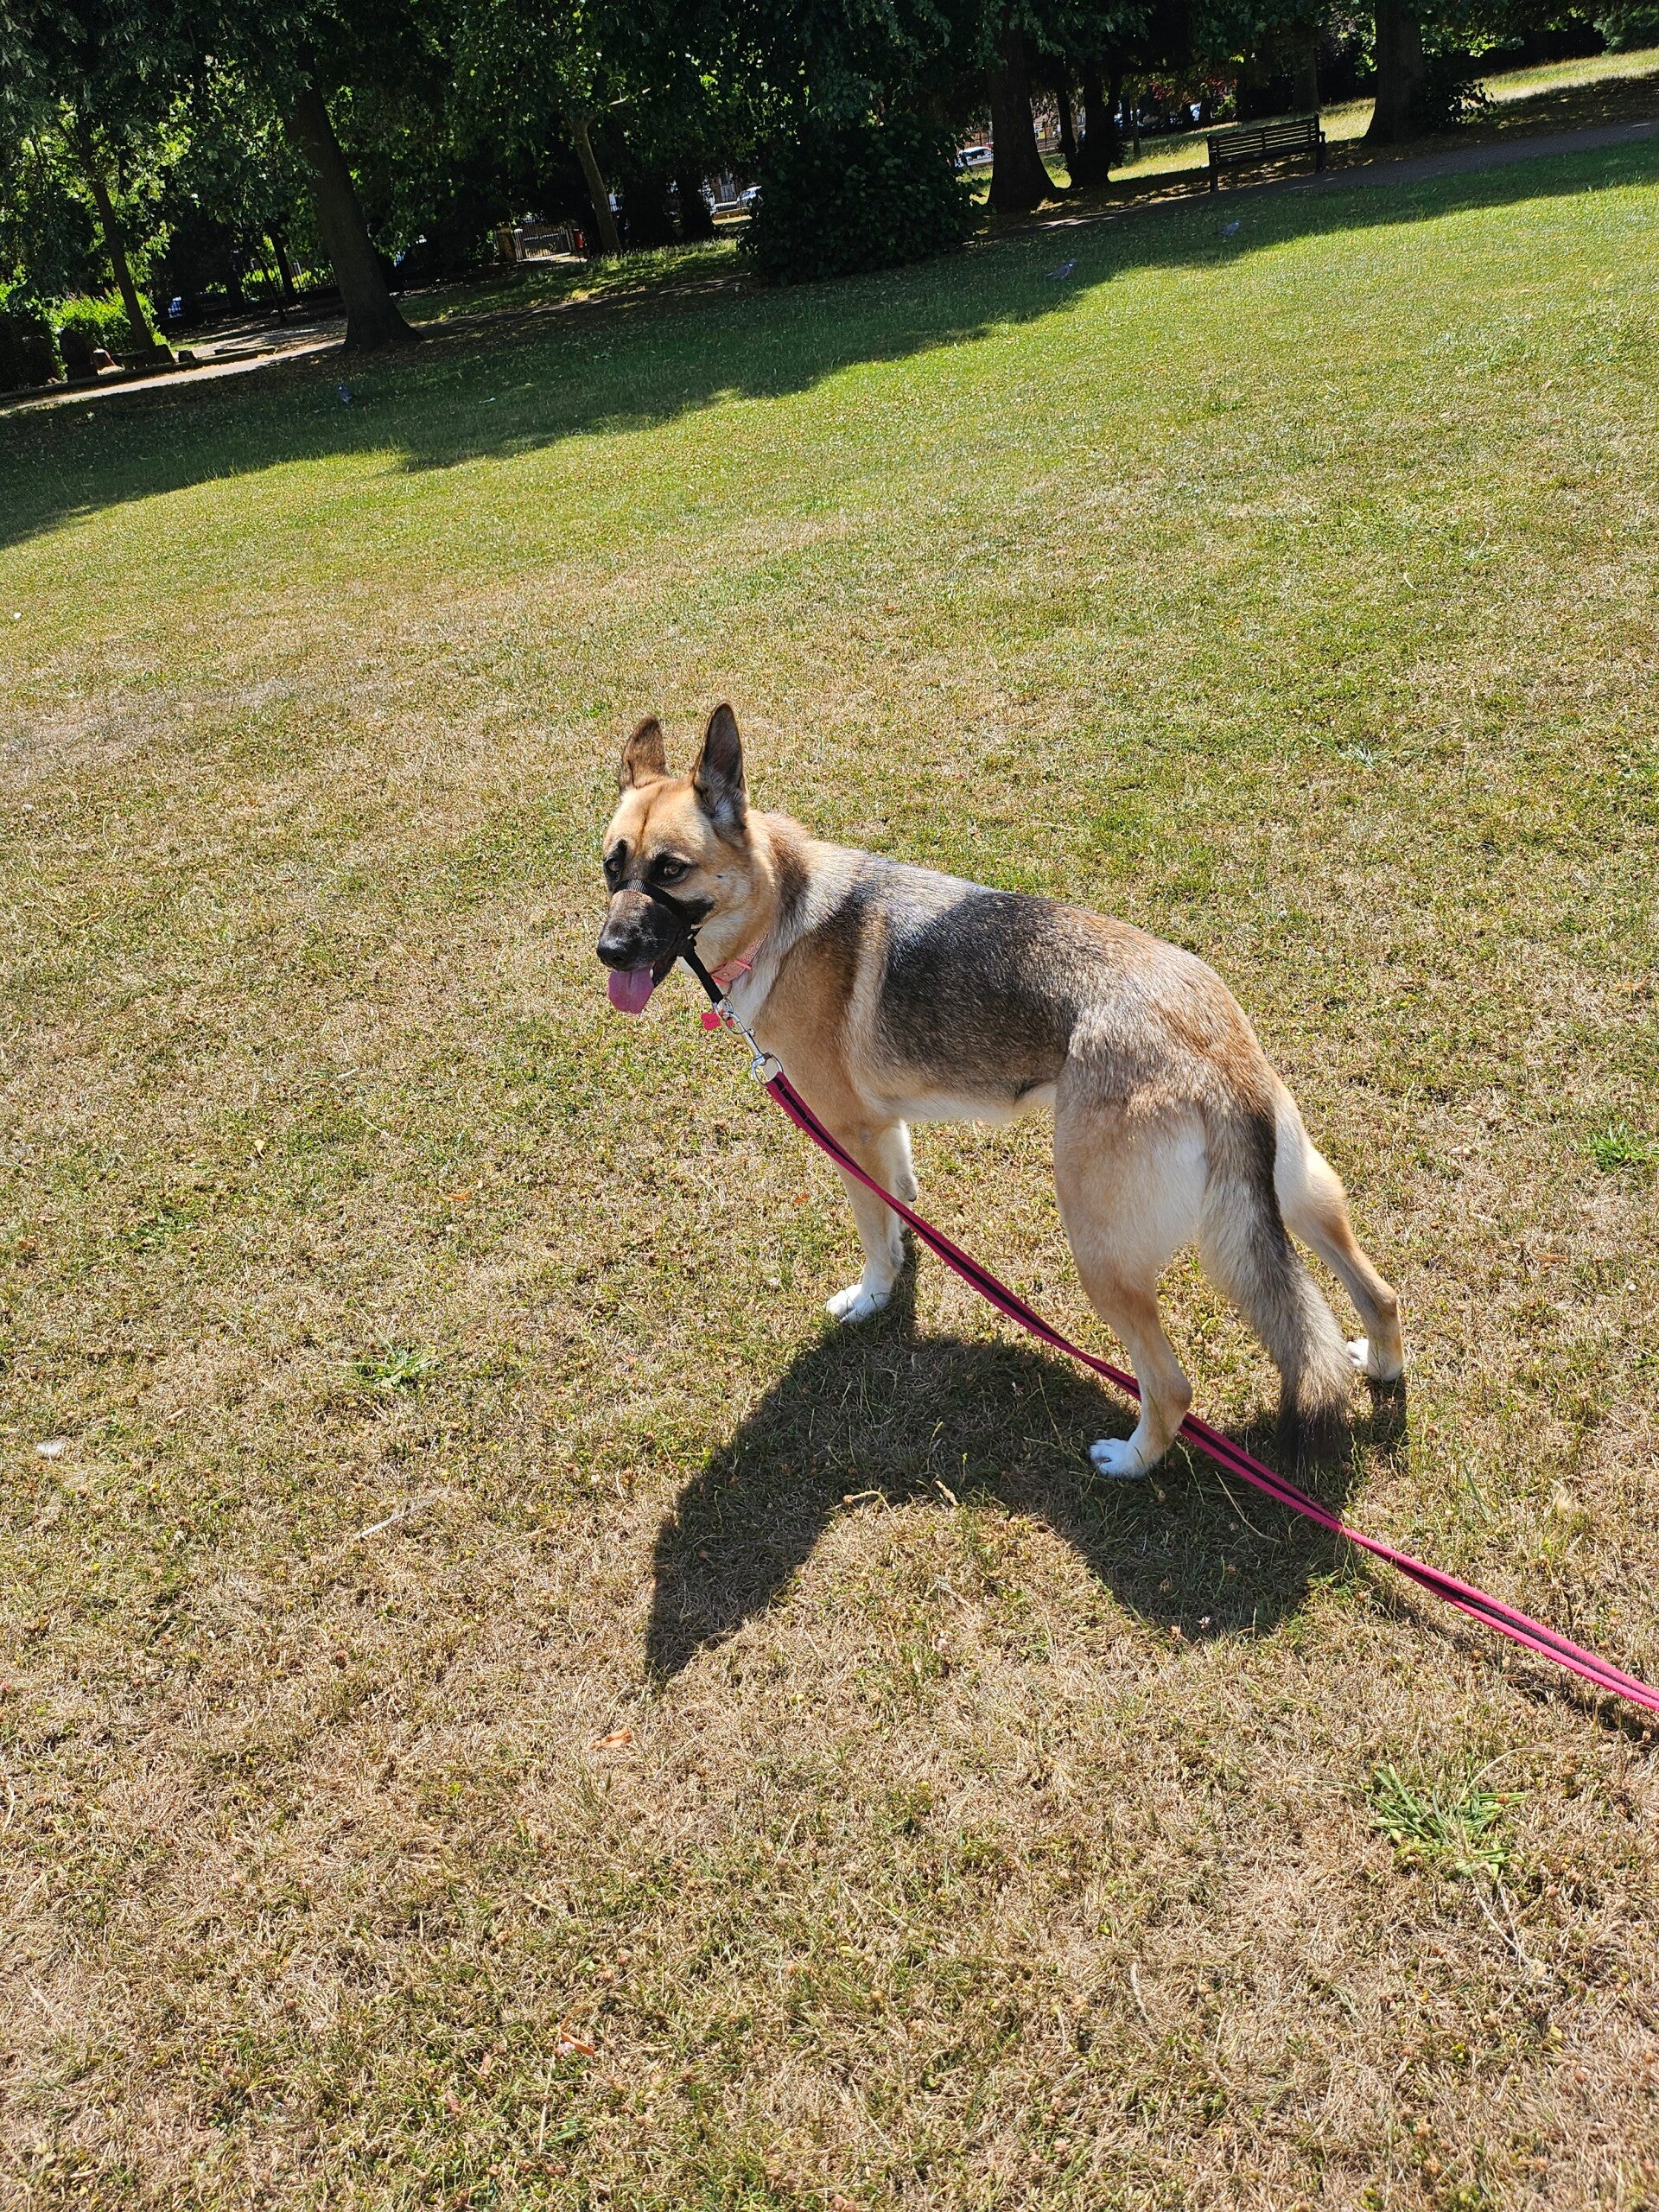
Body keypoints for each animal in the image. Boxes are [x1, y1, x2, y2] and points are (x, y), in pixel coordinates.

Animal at [597, 705, 1404, 1476]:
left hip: (1102, 1248)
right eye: (612, 867)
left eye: (670, 870)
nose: (606, 951)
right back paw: (1380, 1364)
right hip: (1301, 1192)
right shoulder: (882, 1128)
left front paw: (873, 1297)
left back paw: (1129, 1461)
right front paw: (907, 1243)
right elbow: (899, 1196)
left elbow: (873, 1234)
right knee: (1379, 1293)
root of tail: (1213, 1044)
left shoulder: (847, 1134)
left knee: (1171, 1385)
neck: (778, 907)